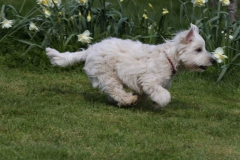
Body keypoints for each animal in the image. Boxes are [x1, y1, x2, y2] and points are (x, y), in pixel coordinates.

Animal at [45, 23, 216, 109]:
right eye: (198, 49)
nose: (213, 60)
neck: (168, 58)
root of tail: (90, 49)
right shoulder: (150, 80)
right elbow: (163, 94)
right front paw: (160, 101)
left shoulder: (143, 83)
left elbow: (144, 94)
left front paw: (151, 101)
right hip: (107, 74)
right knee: (115, 90)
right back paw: (128, 100)